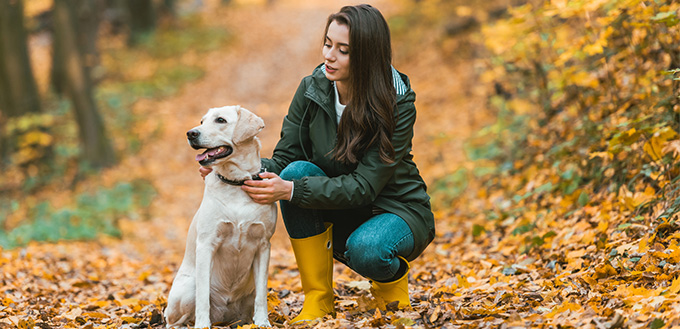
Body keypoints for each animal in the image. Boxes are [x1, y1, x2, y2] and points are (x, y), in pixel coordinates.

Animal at [164, 106, 276, 326]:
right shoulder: (207, 244)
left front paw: (262, 322)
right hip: (187, 288)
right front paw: (202, 326)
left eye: (220, 120)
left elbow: (261, 295)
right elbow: (202, 298)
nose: (190, 133)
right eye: (202, 121)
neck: (236, 182)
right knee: (174, 320)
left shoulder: (263, 244)